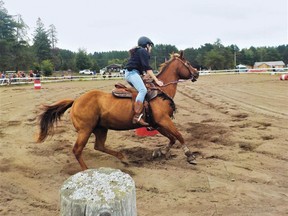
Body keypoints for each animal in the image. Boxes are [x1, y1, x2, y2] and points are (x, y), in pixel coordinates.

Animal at [37, 51, 199, 170]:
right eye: (188, 63)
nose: (197, 73)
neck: (160, 90)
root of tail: (75, 101)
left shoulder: (157, 123)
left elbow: (172, 138)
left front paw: (160, 152)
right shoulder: (163, 120)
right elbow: (179, 136)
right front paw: (189, 155)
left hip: (100, 128)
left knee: (99, 146)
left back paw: (123, 158)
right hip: (85, 130)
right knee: (77, 150)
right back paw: (86, 170)